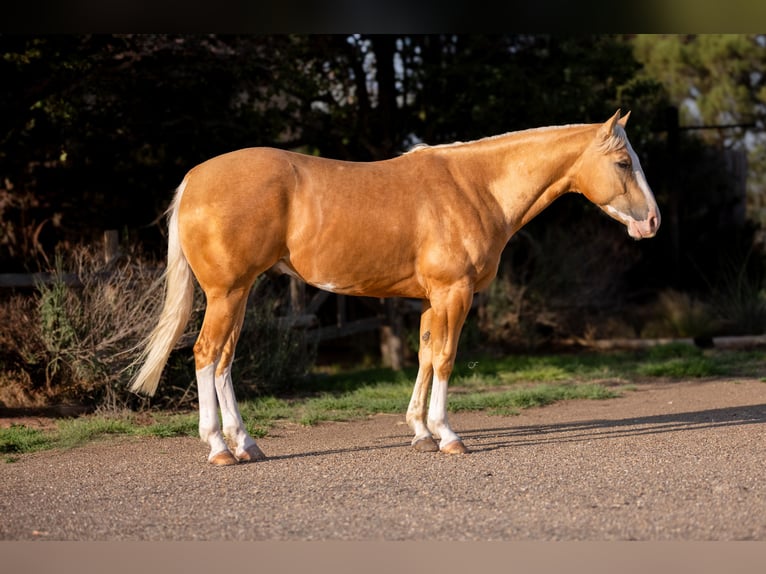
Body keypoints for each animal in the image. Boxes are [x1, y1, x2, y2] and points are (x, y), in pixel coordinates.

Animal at [130, 110, 660, 465]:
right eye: (622, 162)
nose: (652, 222)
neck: (475, 187)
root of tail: (194, 179)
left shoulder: (430, 299)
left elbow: (425, 356)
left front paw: (421, 433)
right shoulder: (454, 293)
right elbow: (445, 358)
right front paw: (449, 436)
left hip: (239, 294)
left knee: (224, 360)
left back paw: (246, 443)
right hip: (227, 292)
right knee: (206, 354)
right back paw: (219, 447)